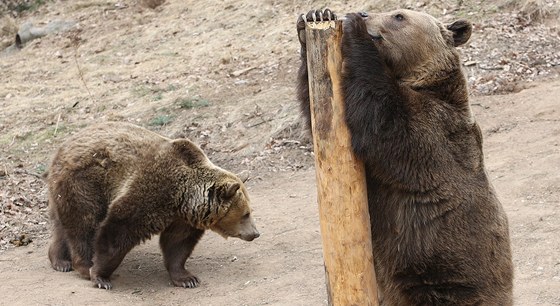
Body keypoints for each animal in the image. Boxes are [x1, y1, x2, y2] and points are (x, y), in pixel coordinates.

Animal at [45, 122, 260, 290]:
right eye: (246, 214)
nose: (255, 233)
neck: (183, 196)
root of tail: (63, 145)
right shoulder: (150, 193)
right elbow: (117, 232)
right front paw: (100, 276)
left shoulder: (182, 218)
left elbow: (177, 244)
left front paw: (187, 278)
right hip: (84, 183)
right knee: (84, 224)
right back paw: (82, 264)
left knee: (63, 225)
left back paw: (60, 261)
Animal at [298, 8, 512, 304]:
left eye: (399, 16)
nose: (365, 12)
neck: (421, 82)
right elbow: (321, 109)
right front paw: (314, 17)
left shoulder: (432, 133)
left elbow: (384, 123)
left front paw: (355, 29)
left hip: (445, 272)